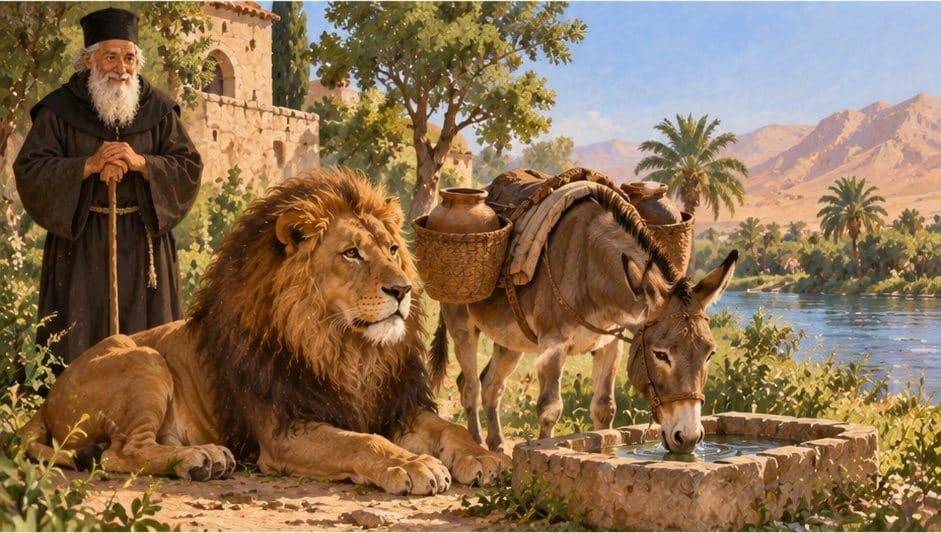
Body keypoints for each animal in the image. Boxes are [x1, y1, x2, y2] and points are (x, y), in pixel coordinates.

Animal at [20, 169, 508, 495]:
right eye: (351, 253)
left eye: (392, 249)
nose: (403, 289)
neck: (345, 350)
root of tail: (45, 403)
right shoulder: (284, 431)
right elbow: (363, 442)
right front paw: (412, 465)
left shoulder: (392, 407)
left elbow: (450, 429)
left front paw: (486, 457)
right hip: (143, 359)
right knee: (120, 451)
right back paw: (200, 459)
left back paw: (207, 458)